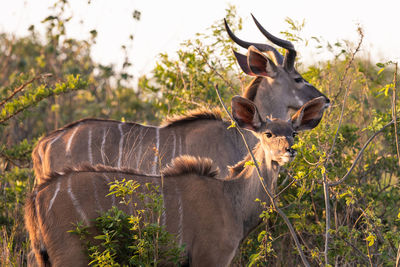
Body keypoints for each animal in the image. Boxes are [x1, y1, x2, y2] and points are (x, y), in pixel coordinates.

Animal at [25, 96, 326, 267]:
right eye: (268, 133)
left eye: (294, 133)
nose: (288, 150)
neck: (231, 197)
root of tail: (38, 195)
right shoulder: (210, 256)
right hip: (70, 254)